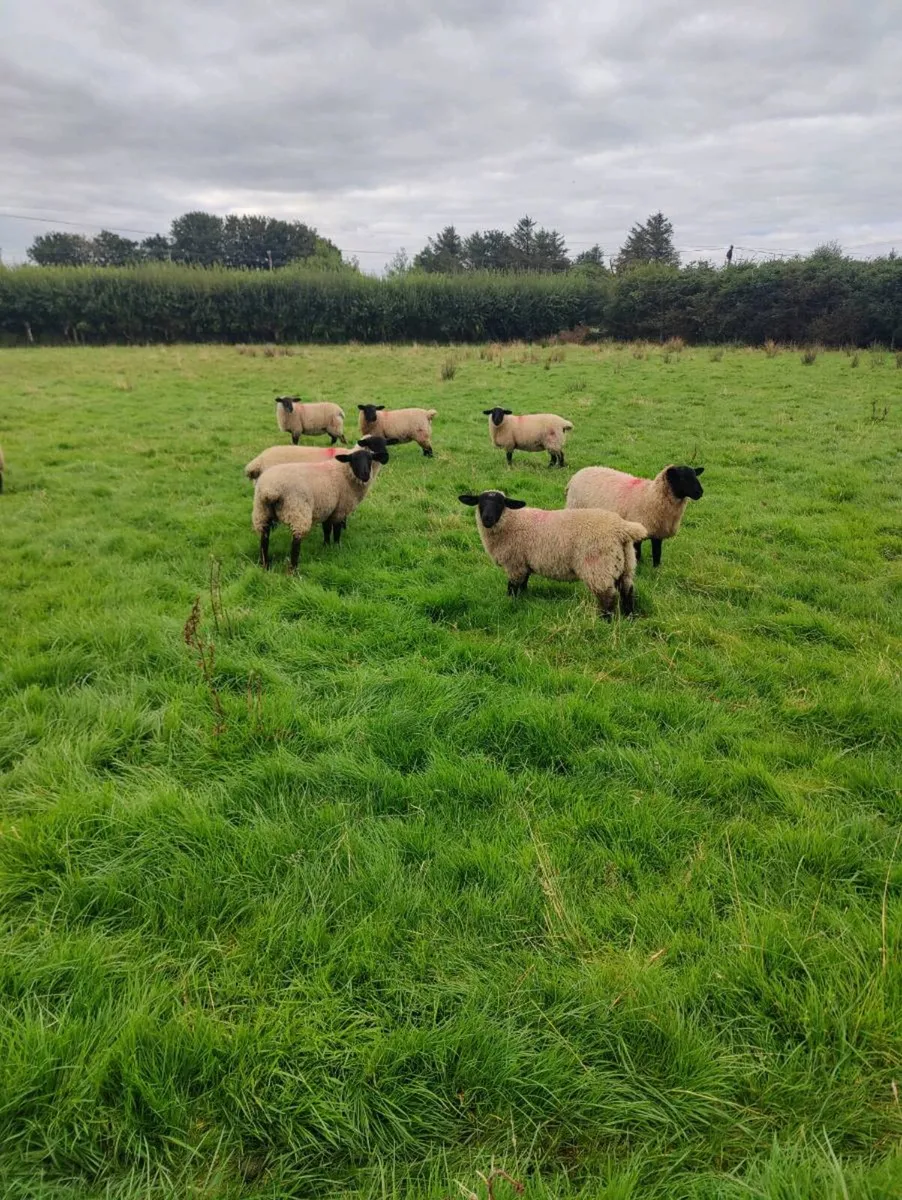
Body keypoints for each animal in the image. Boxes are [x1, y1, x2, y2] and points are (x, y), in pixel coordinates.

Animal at [252, 445, 386, 571]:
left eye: (370, 459)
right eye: (353, 460)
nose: (365, 475)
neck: (344, 473)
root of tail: (270, 490)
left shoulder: (327, 508)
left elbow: (326, 529)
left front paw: (326, 546)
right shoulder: (340, 510)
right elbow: (336, 531)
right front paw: (337, 547)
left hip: (262, 512)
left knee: (264, 539)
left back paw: (265, 565)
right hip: (298, 511)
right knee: (295, 543)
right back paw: (294, 570)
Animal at [457, 490, 647, 618]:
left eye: (500, 503)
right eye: (480, 502)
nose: (487, 519)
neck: (512, 522)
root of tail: (622, 528)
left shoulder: (515, 564)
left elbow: (512, 588)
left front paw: (510, 602)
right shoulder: (525, 563)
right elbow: (524, 584)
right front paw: (524, 599)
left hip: (598, 566)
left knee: (608, 598)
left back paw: (604, 621)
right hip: (627, 565)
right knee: (628, 592)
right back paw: (629, 618)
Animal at [565, 464, 704, 568]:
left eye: (695, 475)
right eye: (682, 478)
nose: (700, 492)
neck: (650, 496)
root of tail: (576, 475)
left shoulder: (657, 533)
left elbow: (657, 553)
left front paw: (656, 569)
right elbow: (638, 553)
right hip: (574, 508)